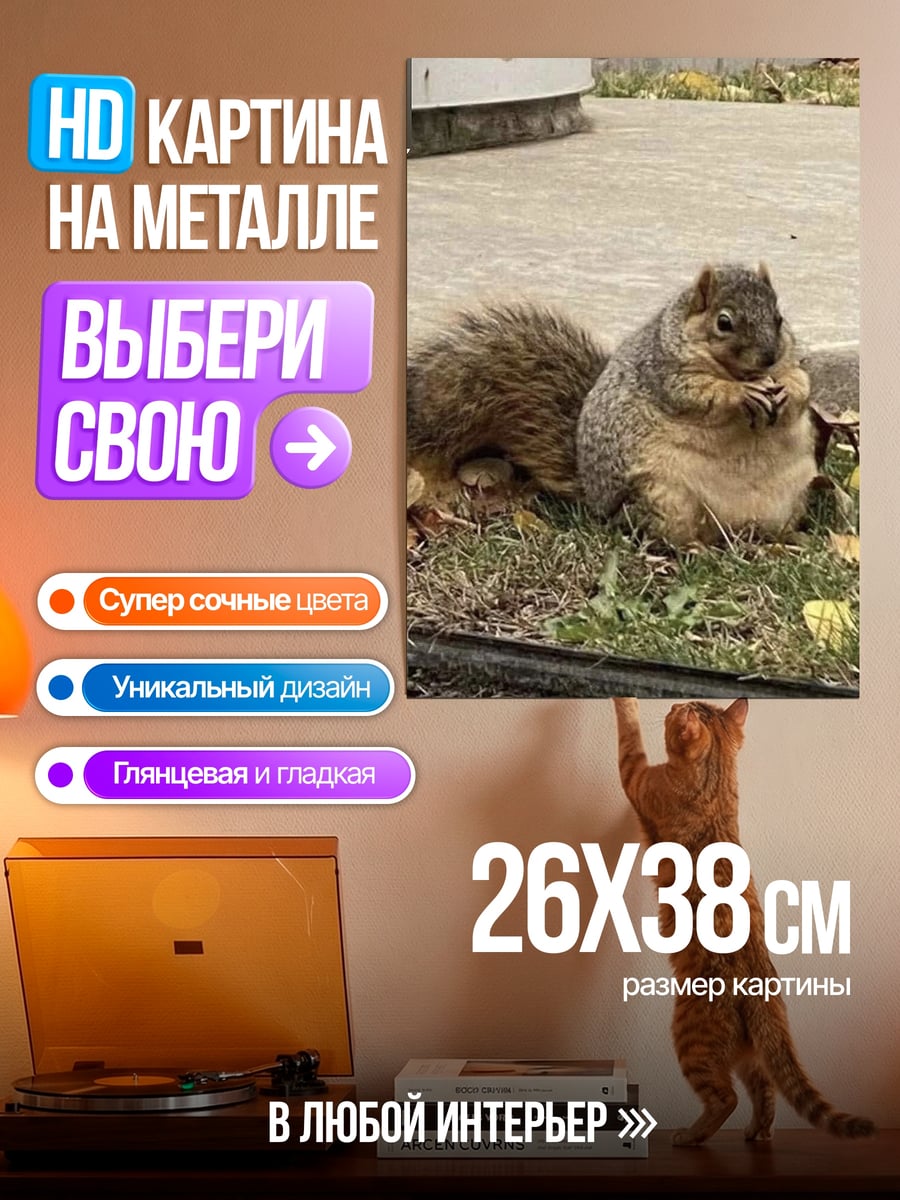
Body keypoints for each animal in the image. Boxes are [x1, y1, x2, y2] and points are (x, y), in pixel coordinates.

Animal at [407, 264, 828, 546]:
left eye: (779, 317)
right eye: (724, 322)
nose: (769, 356)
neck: (740, 371)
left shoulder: (790, 362)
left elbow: (802, 384)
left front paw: (786, 389)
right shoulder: (665, 373)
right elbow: (698, 393)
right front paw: (741, 394)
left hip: (793, 499)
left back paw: (794, 542)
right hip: (665, 499)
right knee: (660, 535)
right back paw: (694, 549)